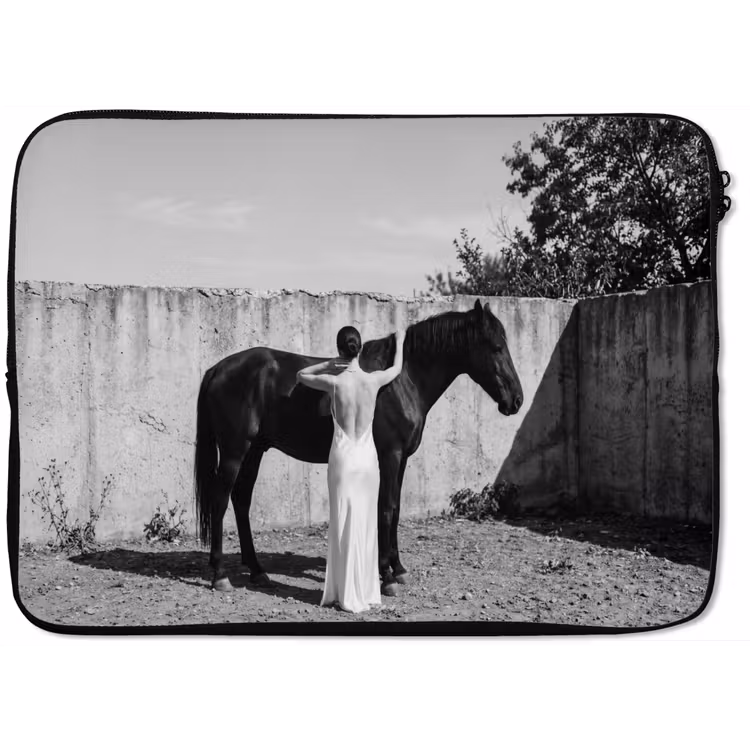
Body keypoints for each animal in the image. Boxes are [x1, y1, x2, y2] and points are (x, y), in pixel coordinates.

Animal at [193, 298, 523, 596]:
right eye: (496, 347)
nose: (517, 400)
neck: (403, 380)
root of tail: (217, 369)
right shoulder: (390, 456)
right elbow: (386, 509)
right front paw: (387, 576)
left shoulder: (401, 459)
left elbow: (395, 508)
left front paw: (397, 568)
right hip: (235, 451)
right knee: (221, 500)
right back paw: (220, 574)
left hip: (255, 450)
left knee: (241, 500)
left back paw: (258, 571)